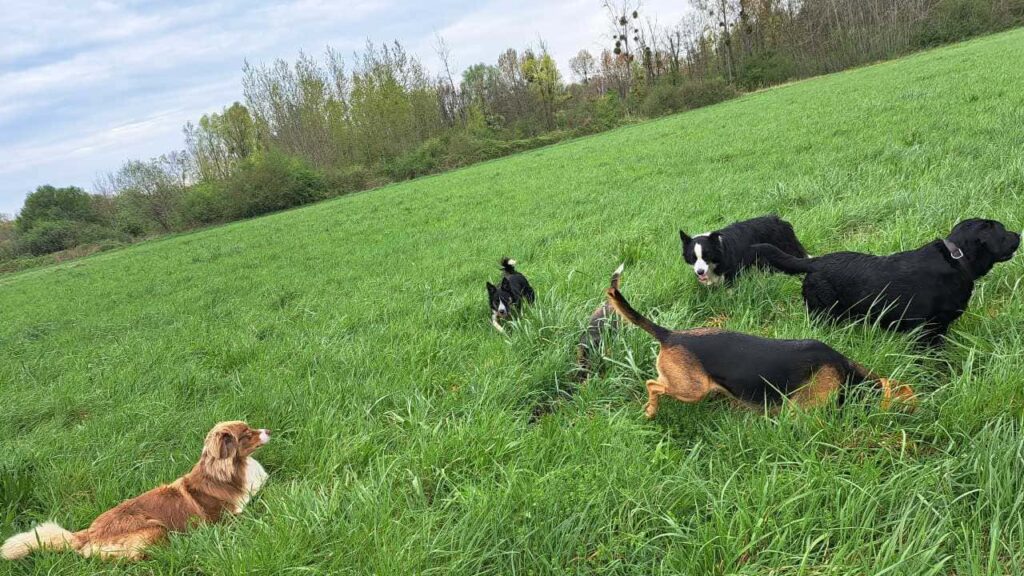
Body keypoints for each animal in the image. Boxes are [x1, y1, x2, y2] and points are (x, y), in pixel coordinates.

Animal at [0, 420, 270, 557]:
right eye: (247, 434)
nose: (269, 430)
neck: (232, 469)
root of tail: (87, 533)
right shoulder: (224, 519)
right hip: (154, 530)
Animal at [753, 218, 1015, 344]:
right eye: (1003, 231)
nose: (1018, 235)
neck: (956, 259)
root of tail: (815, 262)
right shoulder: (926, 331)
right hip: (824, 316)